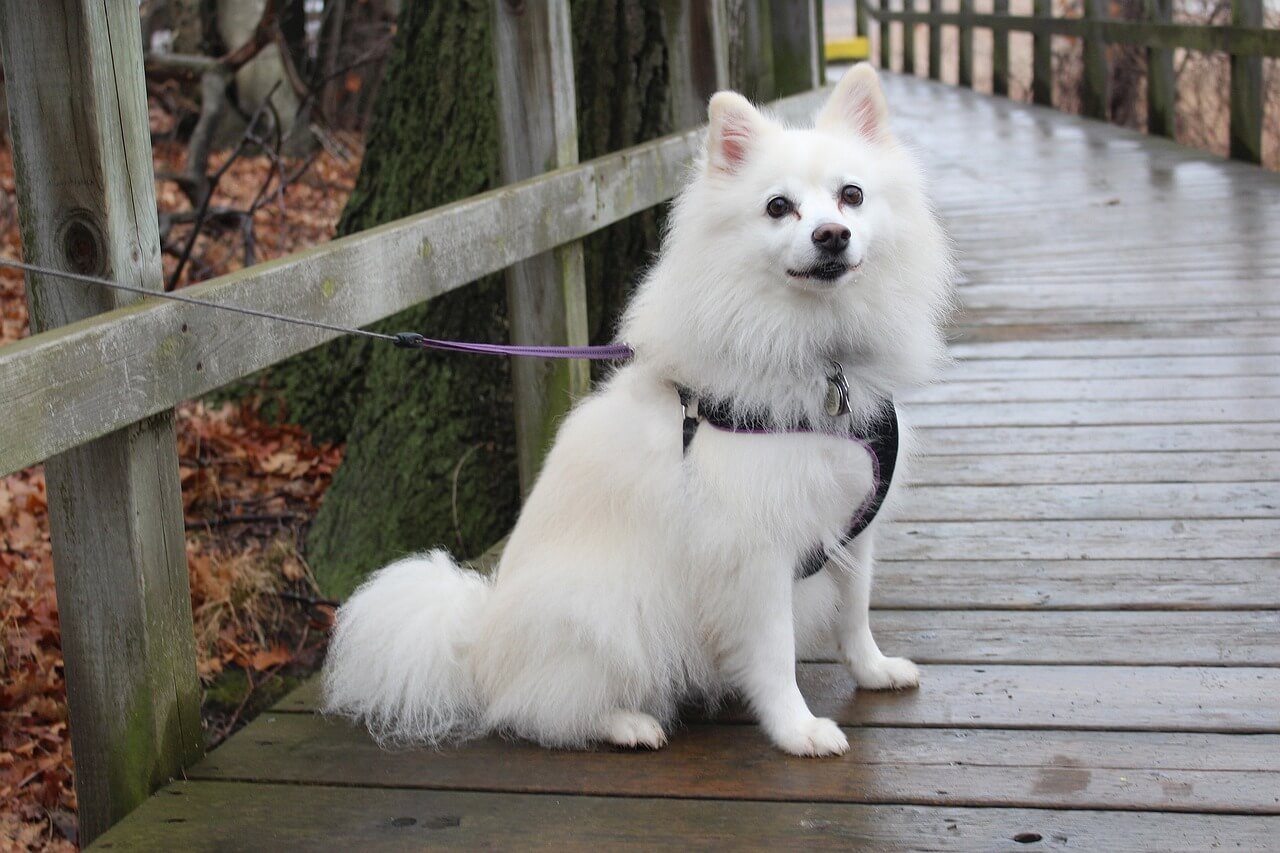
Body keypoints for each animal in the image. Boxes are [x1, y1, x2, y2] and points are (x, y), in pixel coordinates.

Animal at [325, 68, 957, 758]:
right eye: (777, 207)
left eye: (852, 196)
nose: (831, 235)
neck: (818, 357)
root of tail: (476, 646)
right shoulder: (754, 553)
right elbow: (775, 654)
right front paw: (798, 730)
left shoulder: (852, 523)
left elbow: (855, 614)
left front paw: (873, 672)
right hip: (604, 612)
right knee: (541, 711)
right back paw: (627, 724)